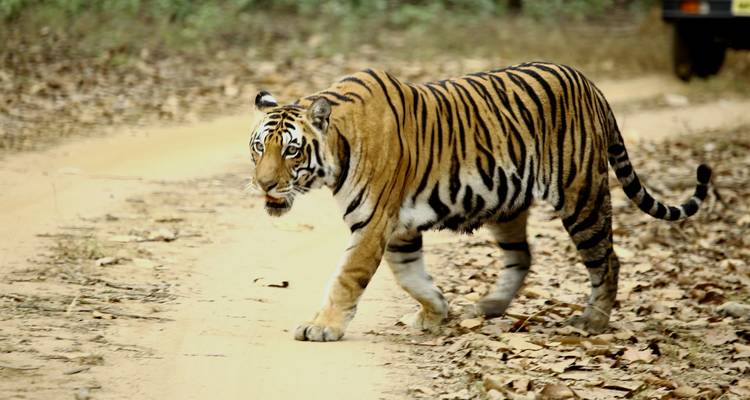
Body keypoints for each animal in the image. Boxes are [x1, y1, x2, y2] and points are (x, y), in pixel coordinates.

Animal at [247, 62, 711, 342]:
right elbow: (411, 276)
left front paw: (322, 327)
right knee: (522, 256)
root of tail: (589, 83)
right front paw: (437, 313)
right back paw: (488, 306)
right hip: (508, 203)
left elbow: (347, 278)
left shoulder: (374, 222)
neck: (338, 150)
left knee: (607, 259)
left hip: (582, 196)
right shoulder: (398, 228)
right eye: (258, 148)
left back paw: (593, 321)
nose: (263, 184)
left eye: (291, 151)